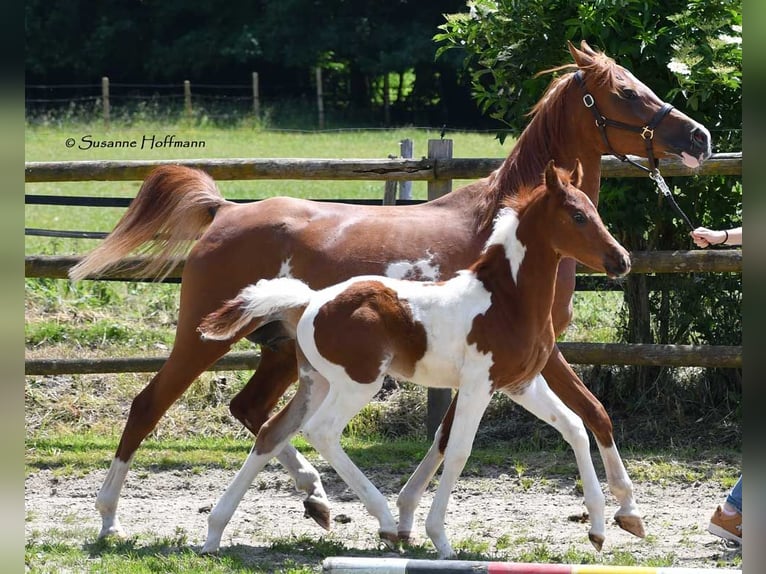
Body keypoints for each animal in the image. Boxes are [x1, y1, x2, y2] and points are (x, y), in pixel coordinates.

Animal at [197, 160, 631, 558]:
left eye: (594, 210)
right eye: (578, 216)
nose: (621, 260)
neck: (506, 301)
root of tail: (311, 300)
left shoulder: (521, 383)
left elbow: (575, 427)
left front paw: (598, 530)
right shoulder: (479, 385)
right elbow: (458, 450)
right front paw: (439, 537)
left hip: (317, 381)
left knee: (273, 432)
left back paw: (214, 533)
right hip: (358, 383)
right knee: (322, 431)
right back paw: (387, 522)